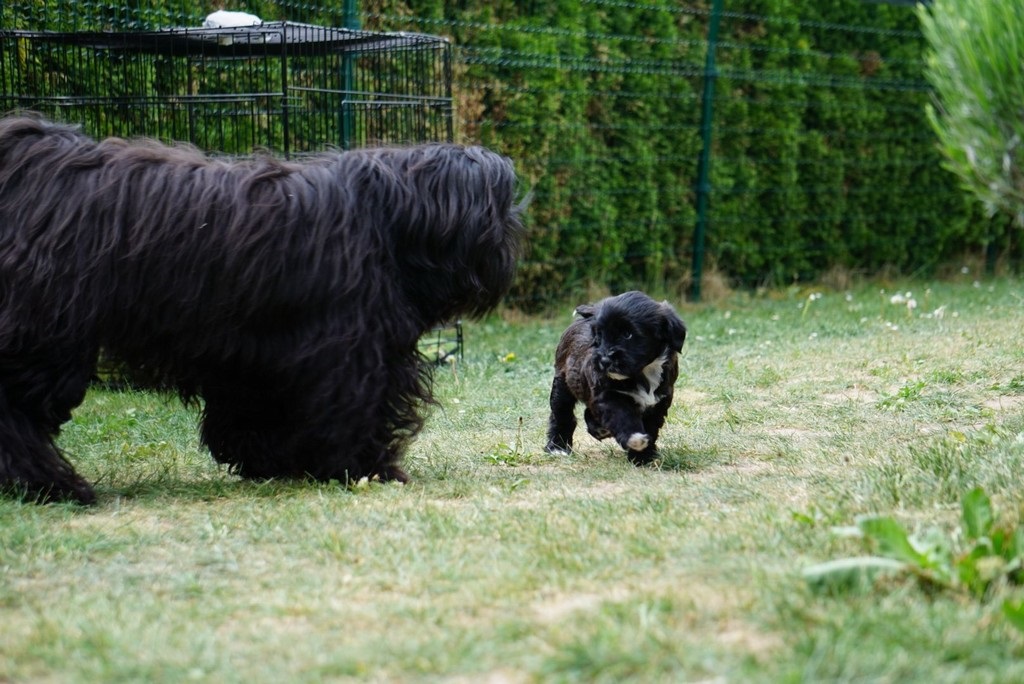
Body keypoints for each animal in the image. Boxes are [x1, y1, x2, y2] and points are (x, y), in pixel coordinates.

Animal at [0, 115, 524, 504]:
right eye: (498, 209)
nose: (516, 229)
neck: (388, 212)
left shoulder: (254, 351)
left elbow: (251, 413)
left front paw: (268, 462)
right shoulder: (349, 348)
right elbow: (353, 410)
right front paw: (365, 468)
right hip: (47, 335)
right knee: (15, 412)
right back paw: (53, 485)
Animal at [544, 291, 686, 465]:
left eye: (628, 334)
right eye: (599, 335)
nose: (604, 360)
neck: (644, 371)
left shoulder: (659, 401)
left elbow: (651, 428)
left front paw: (643, 457)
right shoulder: (609, 395)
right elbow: (622, 416)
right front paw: (635, 439)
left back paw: (599, 429)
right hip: (562, 384)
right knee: (561, 414)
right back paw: (558, 447)